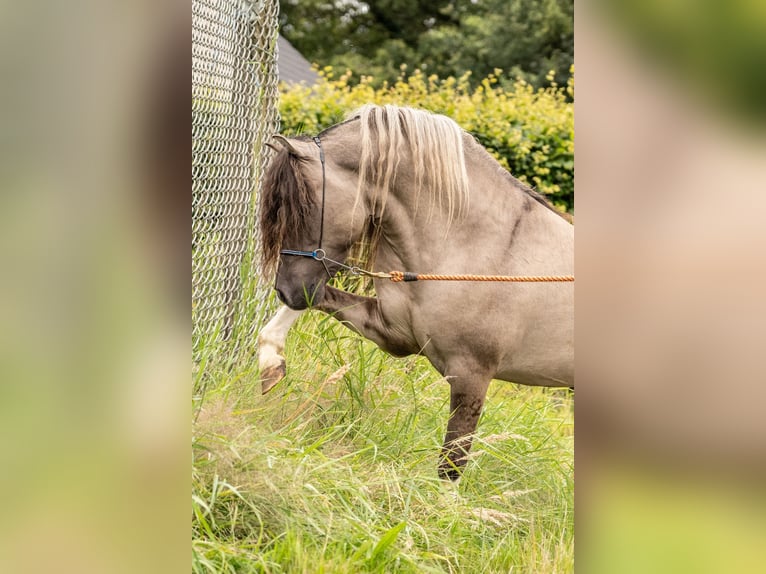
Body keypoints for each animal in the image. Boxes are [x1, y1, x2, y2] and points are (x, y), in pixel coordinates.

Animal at [257, 104, 573, 481]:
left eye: (302, 207)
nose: (285, 289)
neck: (477, 244)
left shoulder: (471, 377)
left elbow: (450, 468)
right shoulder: (393, 333)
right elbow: (318, 300)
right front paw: (270, 363)